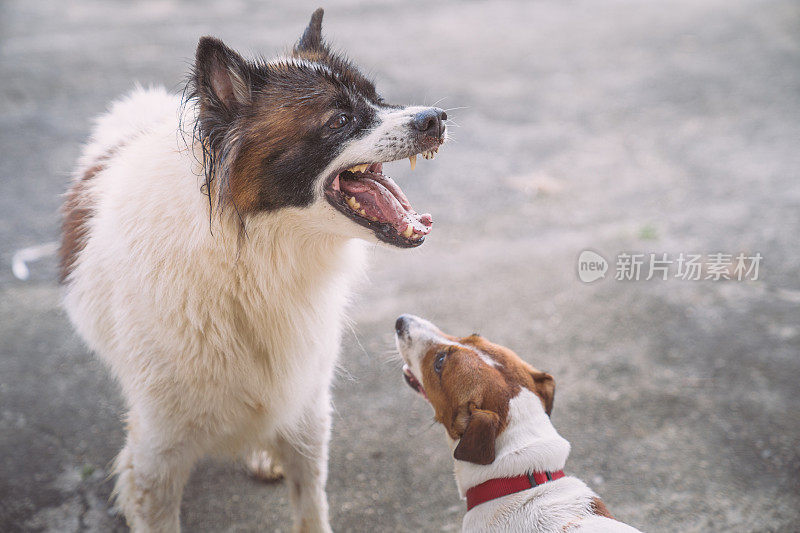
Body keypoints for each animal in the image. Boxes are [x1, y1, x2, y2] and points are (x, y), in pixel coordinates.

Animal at [59, 9, 446, 532]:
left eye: (378, 97)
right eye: (340, 120)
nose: (437, 118)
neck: (251, 260)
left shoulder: (307, 406)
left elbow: (310, 502)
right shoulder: (155, 453)